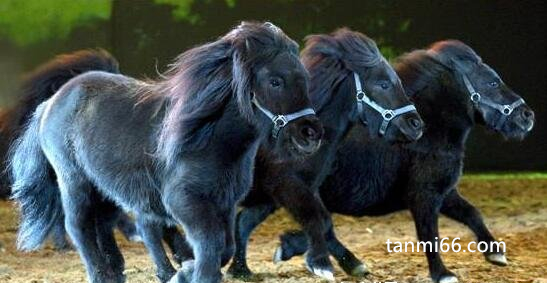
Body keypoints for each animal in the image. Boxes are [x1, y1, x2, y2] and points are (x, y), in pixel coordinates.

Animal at [10, 22, 324, 283]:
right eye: (275, 81)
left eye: (304, 78)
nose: (311, 133)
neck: (210, 140)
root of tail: (51, 102)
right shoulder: (184, 200)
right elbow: (210, 245)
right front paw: (188, 273)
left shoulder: (224, 202)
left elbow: (223, 247)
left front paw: (183, 270)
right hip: (74, 181)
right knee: (79, 226)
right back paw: (101, 274)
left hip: (105, 187)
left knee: (104, 224)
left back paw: (118, 271)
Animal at [225, 27, 426, 280]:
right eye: (383, 84)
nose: (416, 125)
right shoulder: (287, 187)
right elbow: (319, 220)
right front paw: (320, 263)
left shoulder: (288, 191)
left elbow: (322, 222)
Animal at [274, 40, 536, 283]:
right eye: (493, 82)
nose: (527, 116)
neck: (427, 133)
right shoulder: (424, 195)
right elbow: (429, 234)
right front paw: (443, 274)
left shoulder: (444, 191)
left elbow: (472, 214)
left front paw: (495, 254)